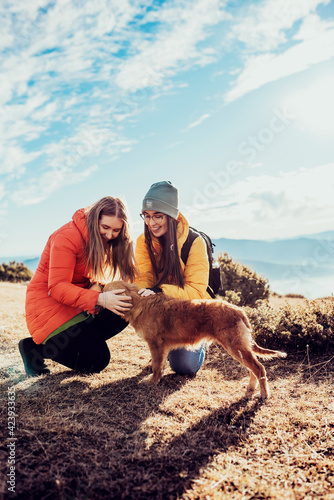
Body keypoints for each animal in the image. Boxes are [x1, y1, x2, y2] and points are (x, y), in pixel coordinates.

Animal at [105, 282, 288, 398]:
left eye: (106, 290)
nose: (99, 294)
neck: (140, 304)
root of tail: (239, 310)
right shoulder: (162, 347)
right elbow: (160, 365)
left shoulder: (156, 345)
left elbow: (157, 367)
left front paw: (152, 382)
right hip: (241, 349)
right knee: (253, 368)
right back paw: (250, 389)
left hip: (235, 347)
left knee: (259, 369)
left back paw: (263, 394)